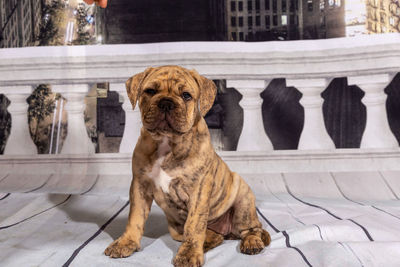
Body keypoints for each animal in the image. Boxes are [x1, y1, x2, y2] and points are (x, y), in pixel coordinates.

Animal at [104, 65, 270, 267]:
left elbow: (194, 225)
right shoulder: (139, 185)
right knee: (214, 236)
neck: (167, 142)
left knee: (251, 229)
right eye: (150, 91)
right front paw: (126, 242)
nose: (166, 103)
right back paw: (207, 242)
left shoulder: (198, 190)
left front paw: (189, 253)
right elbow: (135, 217)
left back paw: (251, 242)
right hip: (177, 229)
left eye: (186, 95)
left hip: (243, 200)